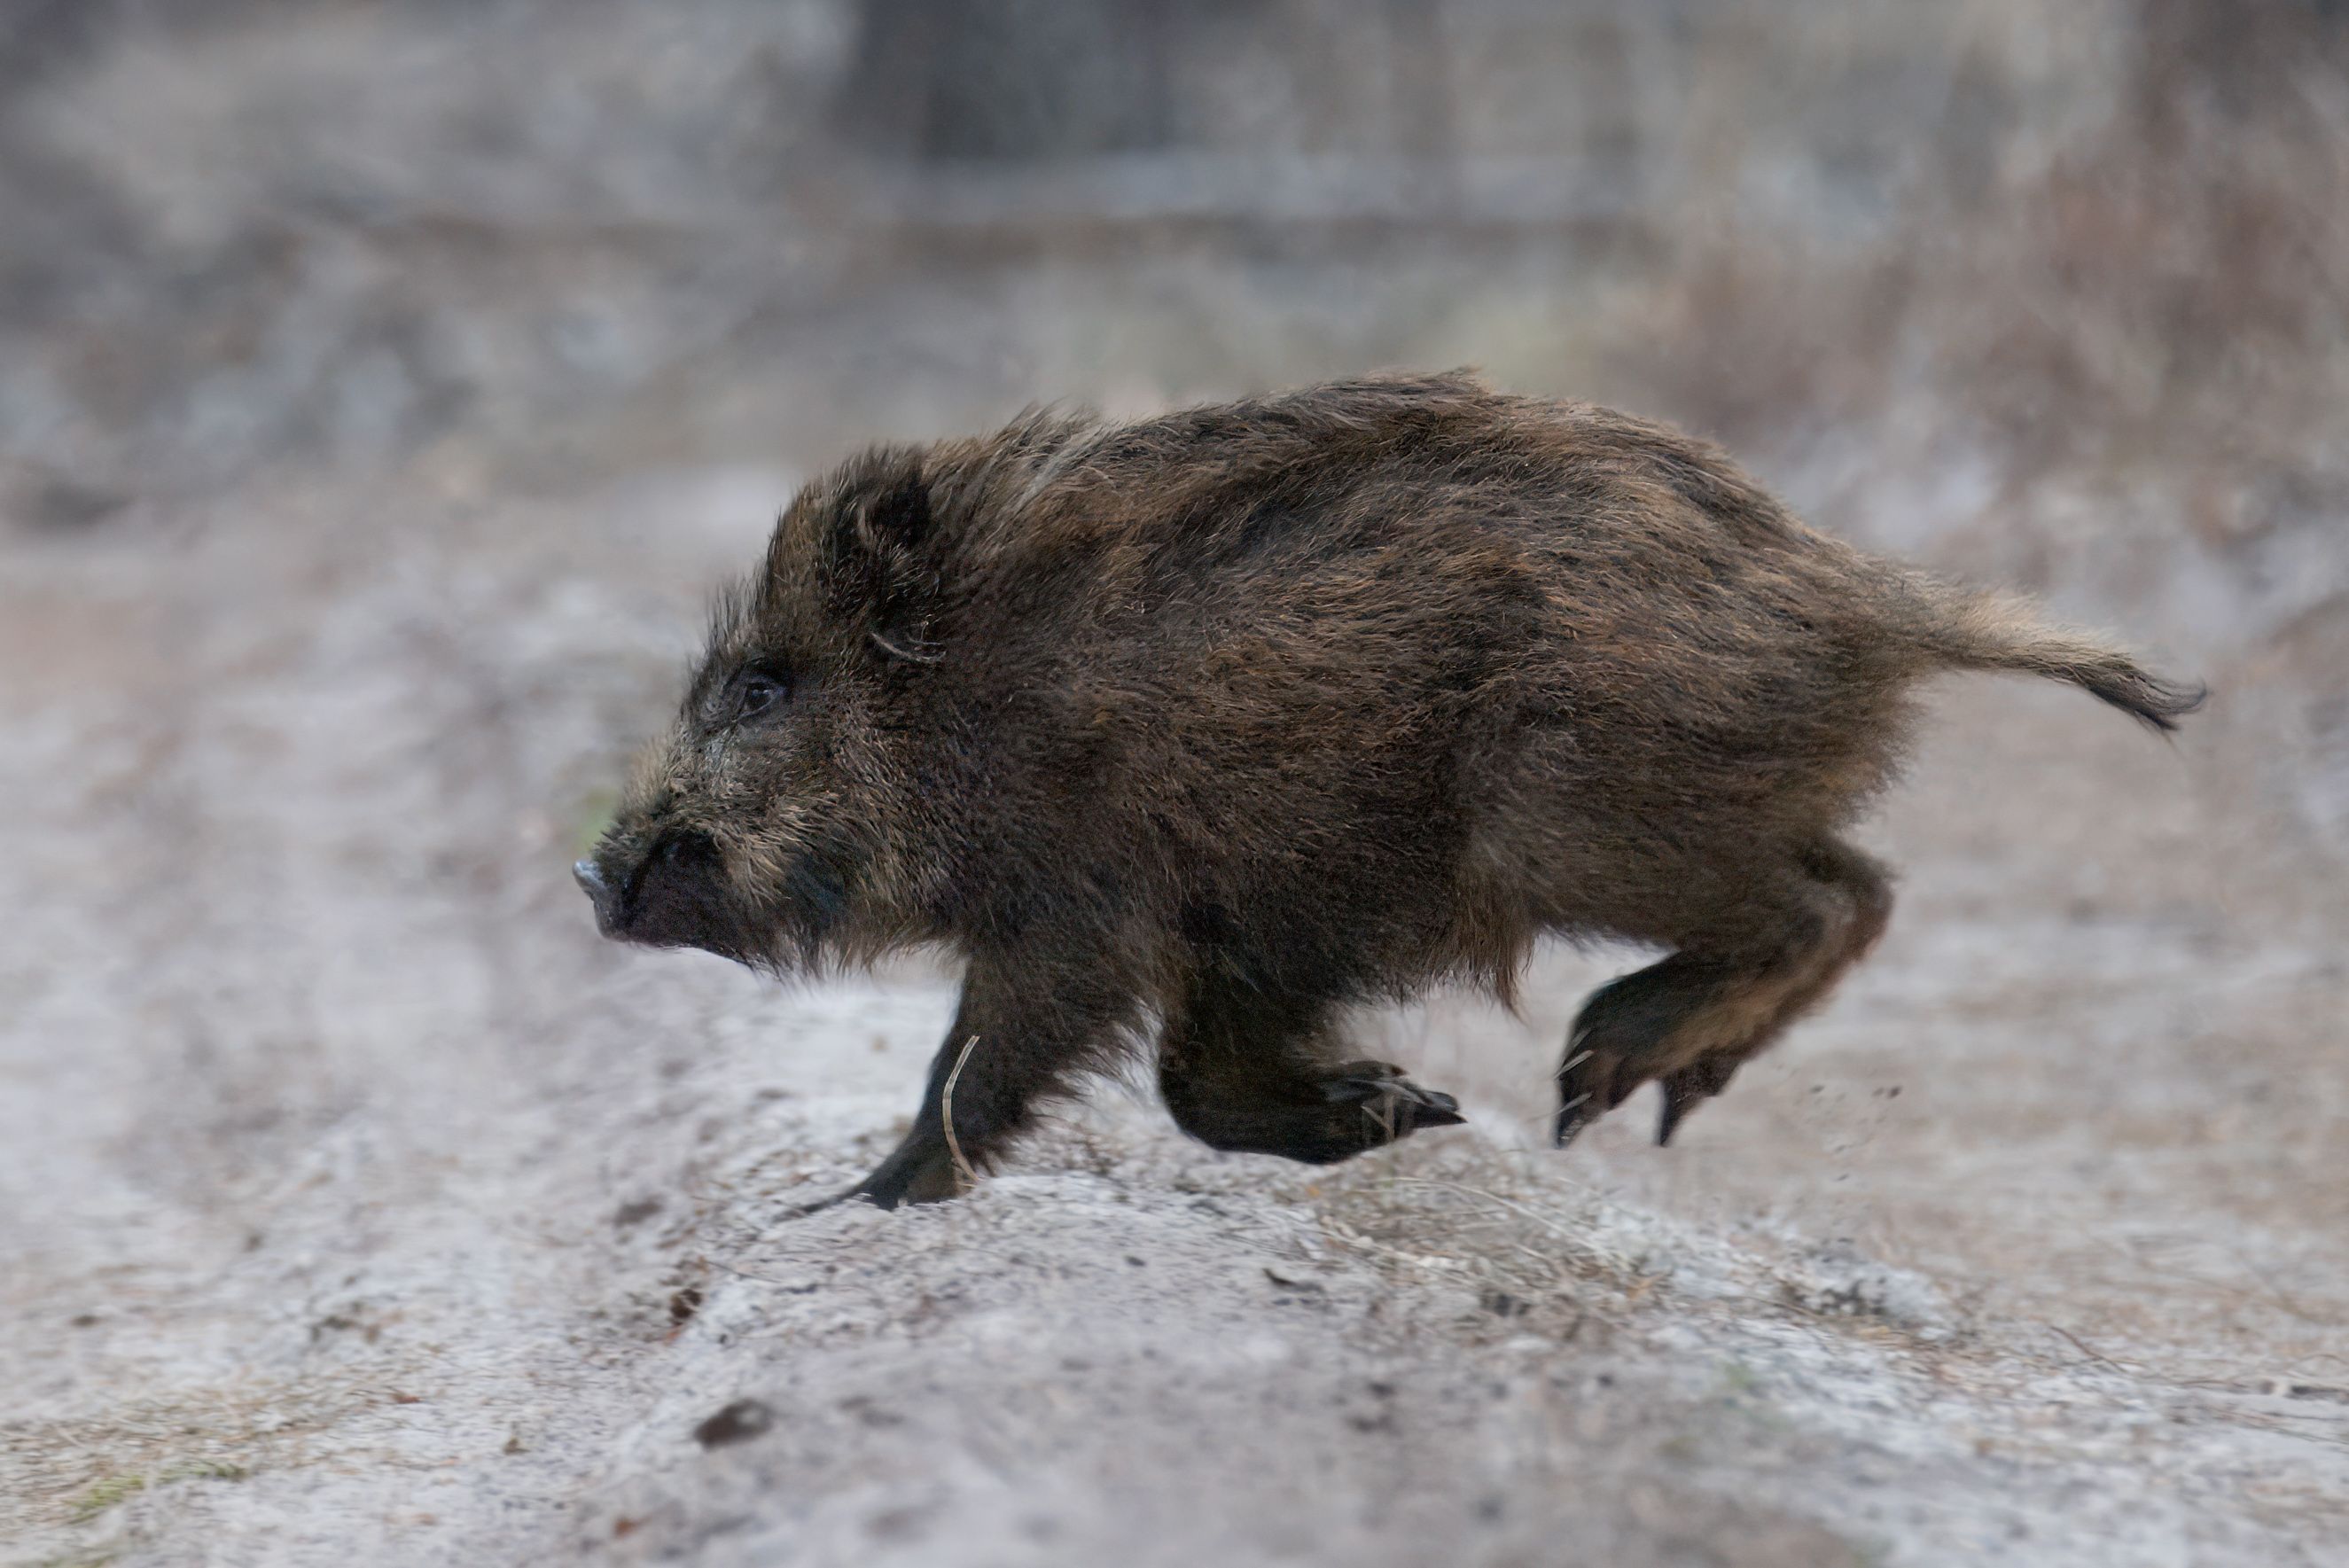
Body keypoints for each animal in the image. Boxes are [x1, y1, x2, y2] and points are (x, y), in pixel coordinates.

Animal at [574, 371, 2202, 1207]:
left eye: (762, 686)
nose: (593, 873)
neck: (976, 703)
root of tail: (1868, 599)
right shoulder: (1259, 933)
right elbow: (1195, 1085)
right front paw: (1409, 1110)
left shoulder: (1083, 914)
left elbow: (984, 1063)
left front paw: (848, 1206)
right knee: (1863, 884)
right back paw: (1612, 1105)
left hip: (1575, 818)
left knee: (1827, 900)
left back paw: (1590, 1083)